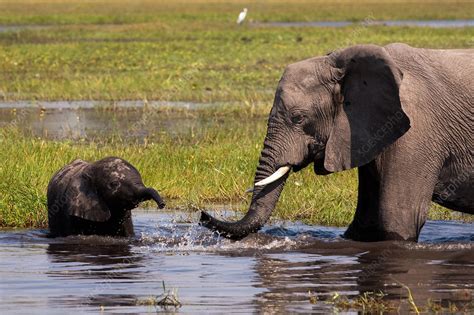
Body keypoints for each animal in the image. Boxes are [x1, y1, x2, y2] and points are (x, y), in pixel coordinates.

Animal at [201, 42, 474, 242]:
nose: (203, 215)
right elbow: (365, 223)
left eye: (298, 118)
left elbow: (398, 218)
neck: (341, 64)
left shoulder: (417, 130)